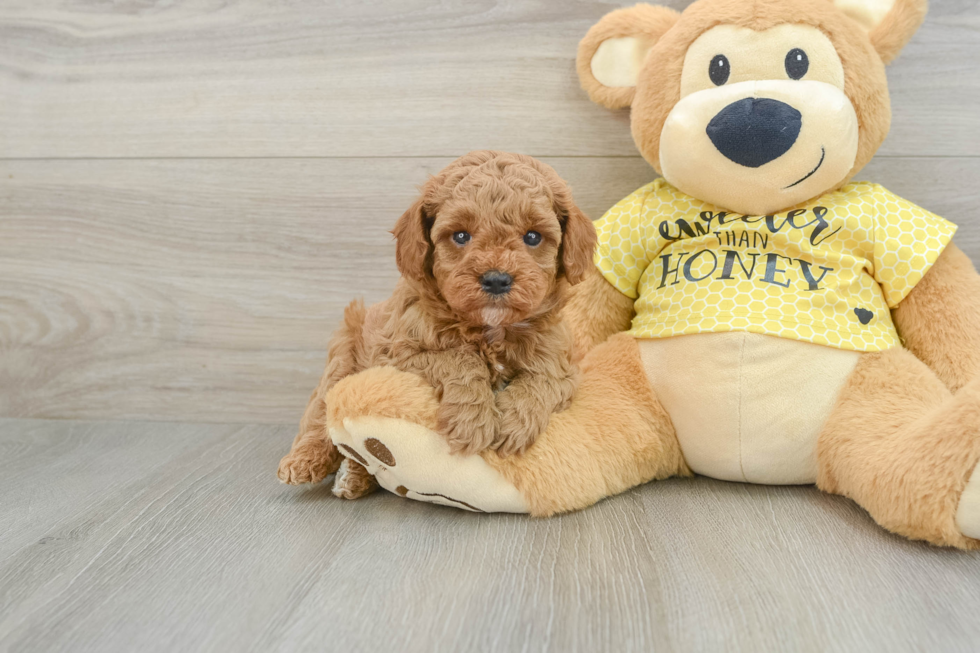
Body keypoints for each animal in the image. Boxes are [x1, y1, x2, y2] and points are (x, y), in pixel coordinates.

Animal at [276, 152, 596, 500]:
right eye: (460, 236)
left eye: (533, 237)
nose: (497, 279)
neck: (488, 329)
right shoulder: (396, 356)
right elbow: (460, 358)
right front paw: (473, 422)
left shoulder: (561, 363)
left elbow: (542, 380)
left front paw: (514, 423)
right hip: (344, 353)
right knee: (321, 414)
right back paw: (306, 462)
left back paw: (356, 477)